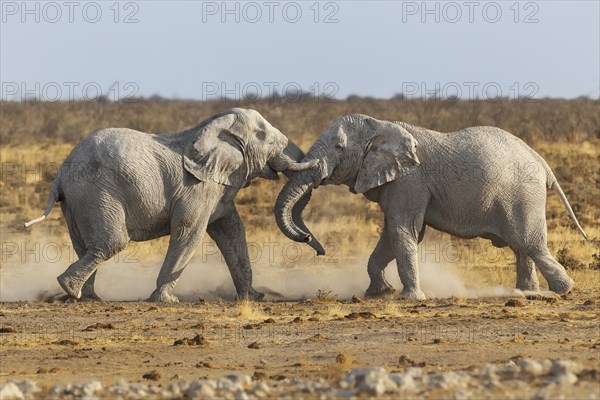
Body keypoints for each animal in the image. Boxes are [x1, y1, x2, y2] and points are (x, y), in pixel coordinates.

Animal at [27, 108, 318, 302]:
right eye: (264, 137)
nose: (308, 239)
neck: (211, 128)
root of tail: (60, 176)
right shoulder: (198, 187)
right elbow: (190, 232)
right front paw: (165, 301)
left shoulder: (218, 188)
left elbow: (232, 232)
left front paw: (253, 298)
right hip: (95, 193)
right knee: (112, 242)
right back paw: (70, 288)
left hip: (78, 201)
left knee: (85, 245)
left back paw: (87, 297)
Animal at [276, 114, 584, 298]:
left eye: (338, 147)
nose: (314, 244)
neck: (380, 126)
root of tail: (542, 162)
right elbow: (391, 234)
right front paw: (380, 293)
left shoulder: (410, 180)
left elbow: (403, 231)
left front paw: (409, 298)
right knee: (522, 247)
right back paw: (526, 293)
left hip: (523, 194)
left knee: (529, 243)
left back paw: (564, 290)